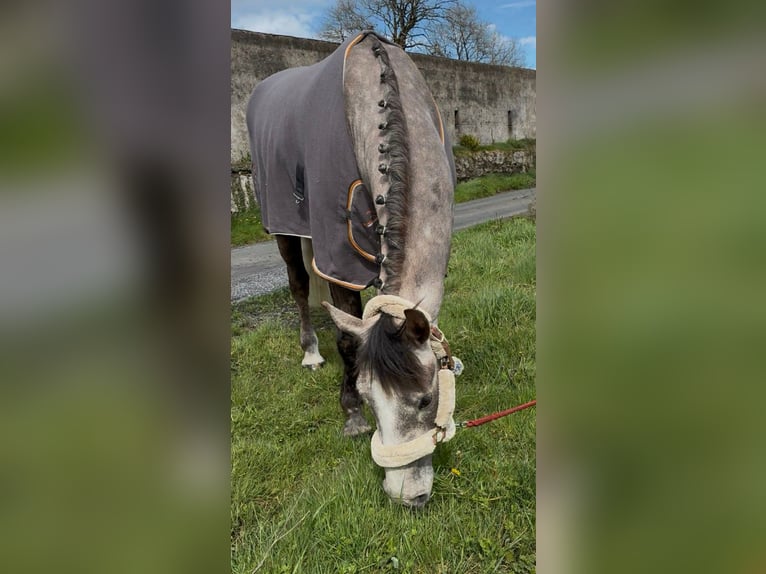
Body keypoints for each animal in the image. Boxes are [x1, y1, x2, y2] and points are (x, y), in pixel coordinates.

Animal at [246, 31, 459, 507]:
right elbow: (347, 339)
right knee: (299, 286)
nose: (406, 496)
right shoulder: (337, 259)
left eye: (425, 400)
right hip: (284, 227)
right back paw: (310, 352)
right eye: (367, 396)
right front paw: (352, 417)